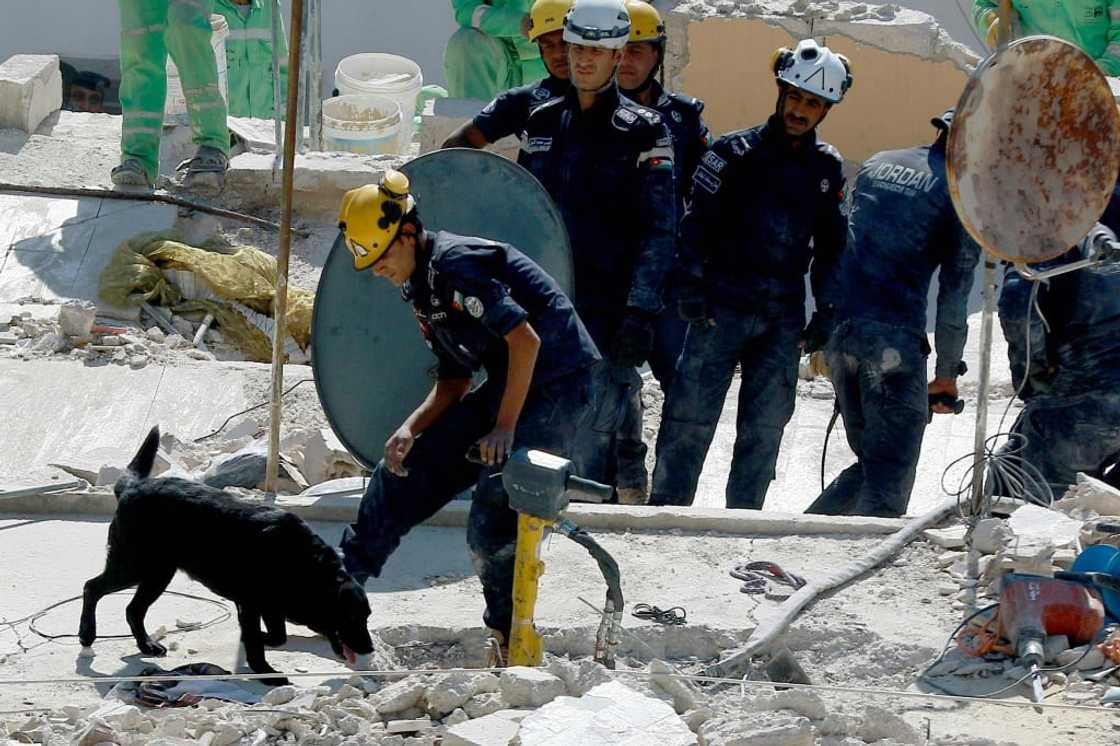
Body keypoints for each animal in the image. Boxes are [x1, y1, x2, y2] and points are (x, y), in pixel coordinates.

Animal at [81, 423, 376, 681]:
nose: (370, 649)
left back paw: (146, 645)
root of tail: (132, 488)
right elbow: (256, 642)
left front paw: (263, 645)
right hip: (134, 566)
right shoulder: (251, 604)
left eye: (367, 617)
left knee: (133, 609)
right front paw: (265, 673)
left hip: (158, 574)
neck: (304, 564)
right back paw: (87, 634)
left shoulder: (270, 606)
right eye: (351, 617)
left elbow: (277, 636)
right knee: (92, 587)